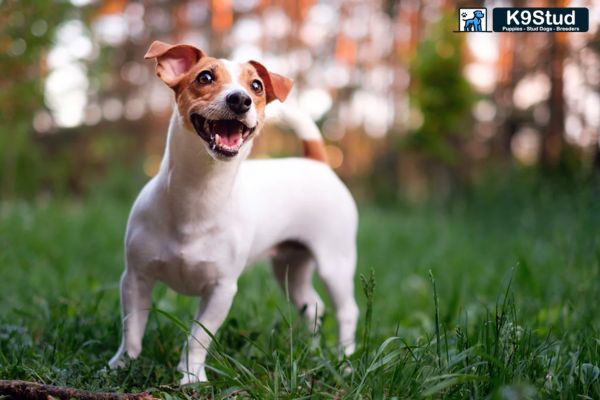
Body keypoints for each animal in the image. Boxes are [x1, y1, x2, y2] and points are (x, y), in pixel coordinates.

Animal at [108, 41, 358, 384]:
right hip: (290, 268)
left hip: (336, 264)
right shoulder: (136, 278)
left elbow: (198, 338)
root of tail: (317, 162)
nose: (240, 99)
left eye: (257, 86)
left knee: (347, 311)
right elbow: (132, 328)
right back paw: (312, 349)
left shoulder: (221, 290)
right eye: (204, 77)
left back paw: (344, 361)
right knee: (313, 305)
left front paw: (191, 377)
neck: (198, 194)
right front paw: (123, 365)